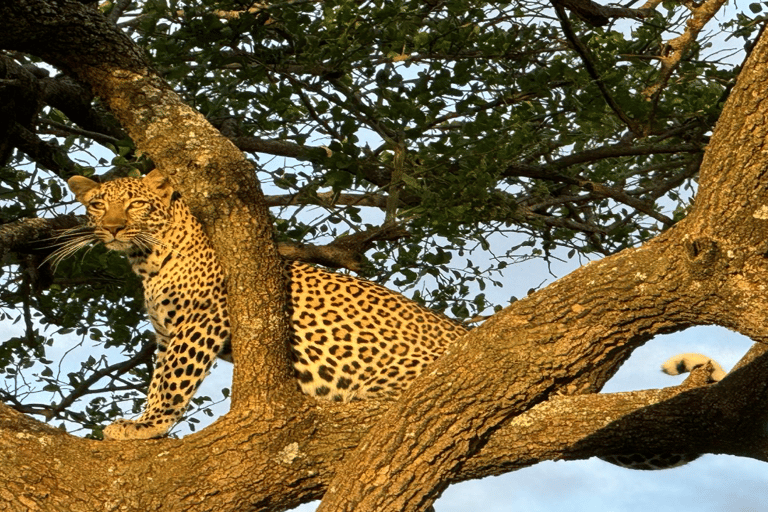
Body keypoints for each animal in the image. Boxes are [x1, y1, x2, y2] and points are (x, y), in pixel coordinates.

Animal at [61, 169, 468, 440]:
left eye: (136, 204)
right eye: (98, 205)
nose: (113, 227)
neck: (147, 260)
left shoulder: (199, 322)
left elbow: (173, 381)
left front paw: (146, 426)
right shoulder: (166, 334)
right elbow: (158, 379)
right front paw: (147, 421)